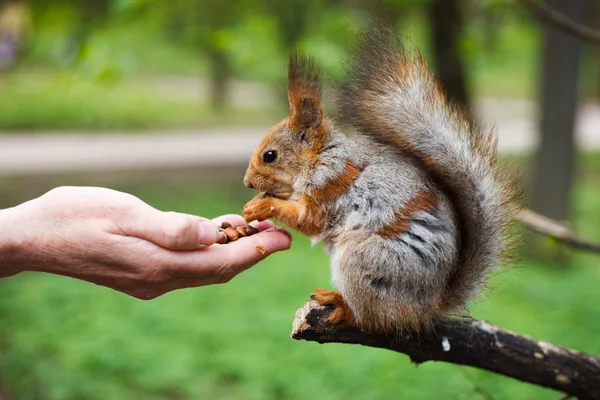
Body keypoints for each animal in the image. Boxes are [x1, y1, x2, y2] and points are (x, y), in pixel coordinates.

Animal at [241, 28, 516, 332]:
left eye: (270, 155)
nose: (247, 183)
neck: (321, 157)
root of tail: (424, 309)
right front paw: (256, 202)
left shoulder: (330, 185)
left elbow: (310, 220)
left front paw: (261, 206)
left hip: (365, 261)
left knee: (370, 318)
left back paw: (341, 305)